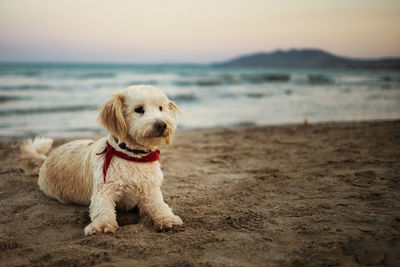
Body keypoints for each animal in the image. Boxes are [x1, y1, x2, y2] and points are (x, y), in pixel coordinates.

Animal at [21, 86, 184, 237]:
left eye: (161, 108)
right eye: (139, 109)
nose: (162, 124)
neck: (132, 157)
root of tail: (47, 158)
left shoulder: (151, 193)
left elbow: (161, 207)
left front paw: (168, 219)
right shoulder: (103, 192)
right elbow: (102, 210)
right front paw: (102, 225)